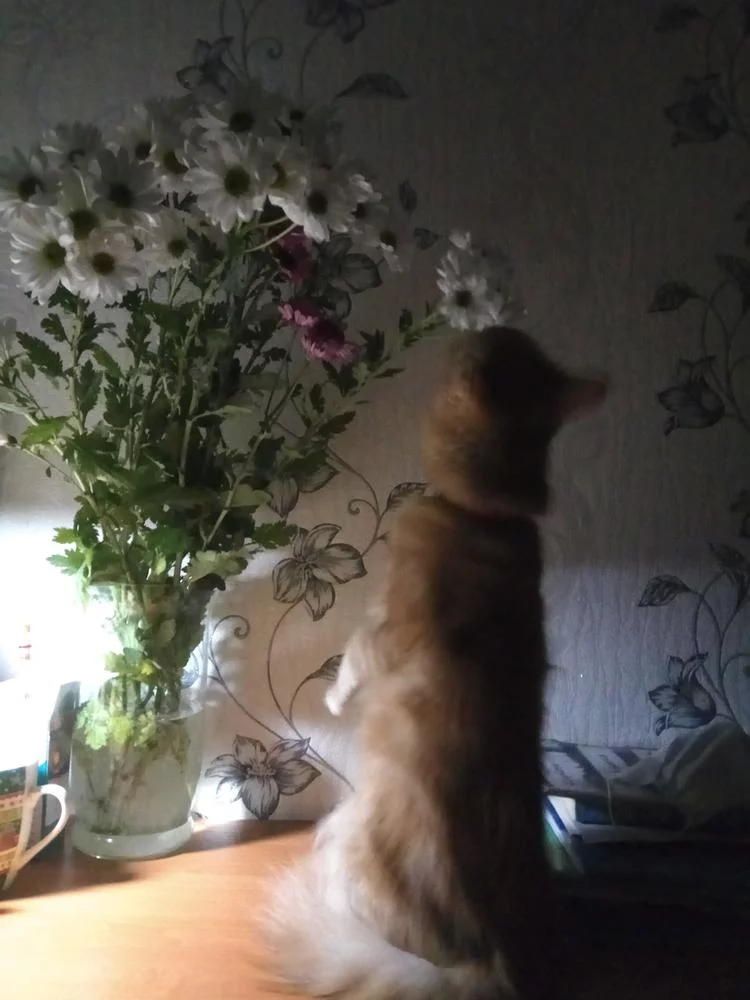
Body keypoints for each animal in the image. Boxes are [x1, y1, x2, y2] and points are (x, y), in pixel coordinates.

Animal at [263, 326, 607, 1000]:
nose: (486, 323)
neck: (490, 516)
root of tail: (492, 959)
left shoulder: (391, 620)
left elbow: (354, 657)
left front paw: (335, 697)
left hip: (348, 833)